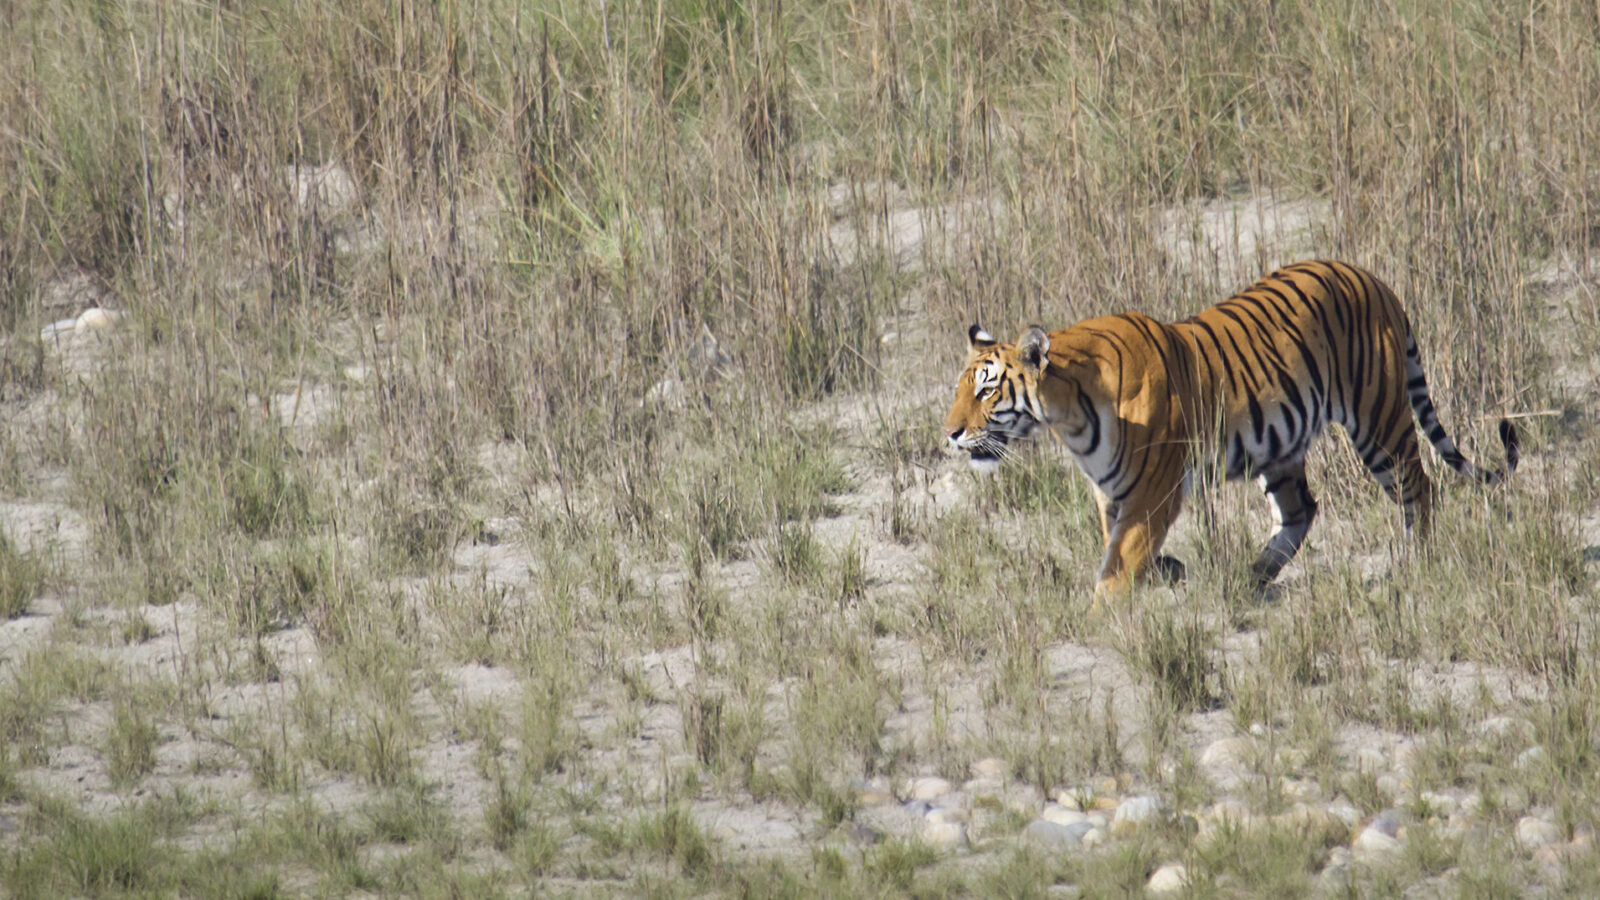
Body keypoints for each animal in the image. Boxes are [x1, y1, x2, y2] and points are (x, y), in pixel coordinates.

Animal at [943, 259, 1519, 597]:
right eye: (960, 388)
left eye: (987, 390)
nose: (949, 433)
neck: (1068, 416)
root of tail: (1373, 278)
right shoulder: (1111, 492)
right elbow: (1121, 548)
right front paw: (1169, 570)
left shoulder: (1152, 491)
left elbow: (1119, 563)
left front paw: (1101, 614)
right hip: (1282, 444)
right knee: (1301, 511)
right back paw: (1252, 575)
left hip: (1379, 420)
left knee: (1418, 487)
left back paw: (1416, 565)